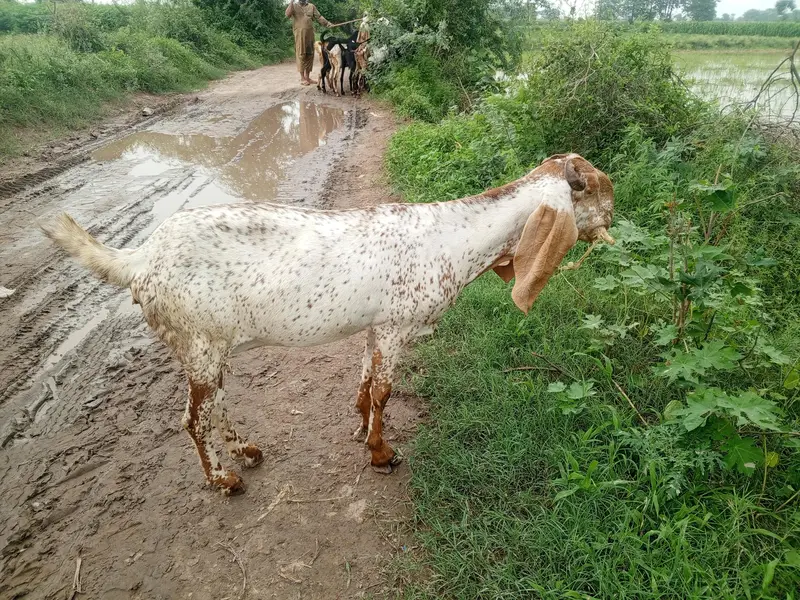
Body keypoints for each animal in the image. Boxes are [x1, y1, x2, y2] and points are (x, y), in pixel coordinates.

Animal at [41, 153, 615, 495]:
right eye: (593, 190)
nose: (615, 216)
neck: (456, 239)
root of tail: (140, 260)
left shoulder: (377, 325)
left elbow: (364, 380)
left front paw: (360, 427)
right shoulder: (397, 324)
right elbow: (385, 390)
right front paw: (381, 453)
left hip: (210, 347)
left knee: (216, 405)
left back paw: (247, 451)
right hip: (198, 341)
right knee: (193, 419)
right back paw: (224, 477)